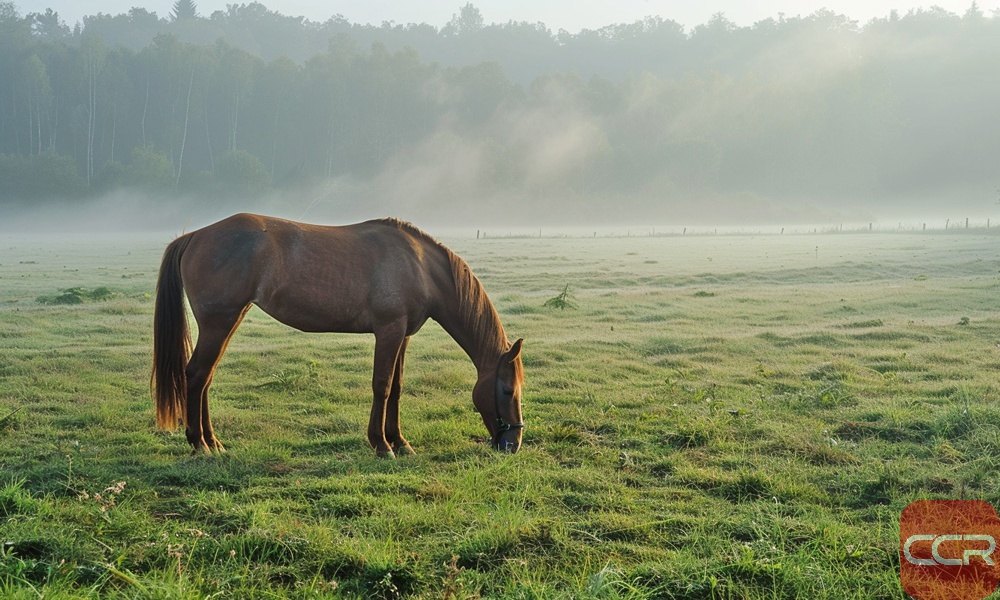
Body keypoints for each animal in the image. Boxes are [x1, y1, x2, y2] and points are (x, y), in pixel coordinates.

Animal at [150, 213, 524, 458]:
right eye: (508, 390)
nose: (514, 444)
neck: (419, 265)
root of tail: (194, 236)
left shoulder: (402, 335)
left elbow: (397, 388)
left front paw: (400, 441)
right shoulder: (389, 331)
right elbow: (382, 386)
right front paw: (382, 444)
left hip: (229, 321)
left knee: (206, 378)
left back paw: (213, 441)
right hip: (219, 323)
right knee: (196, 375)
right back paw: (199, 443)